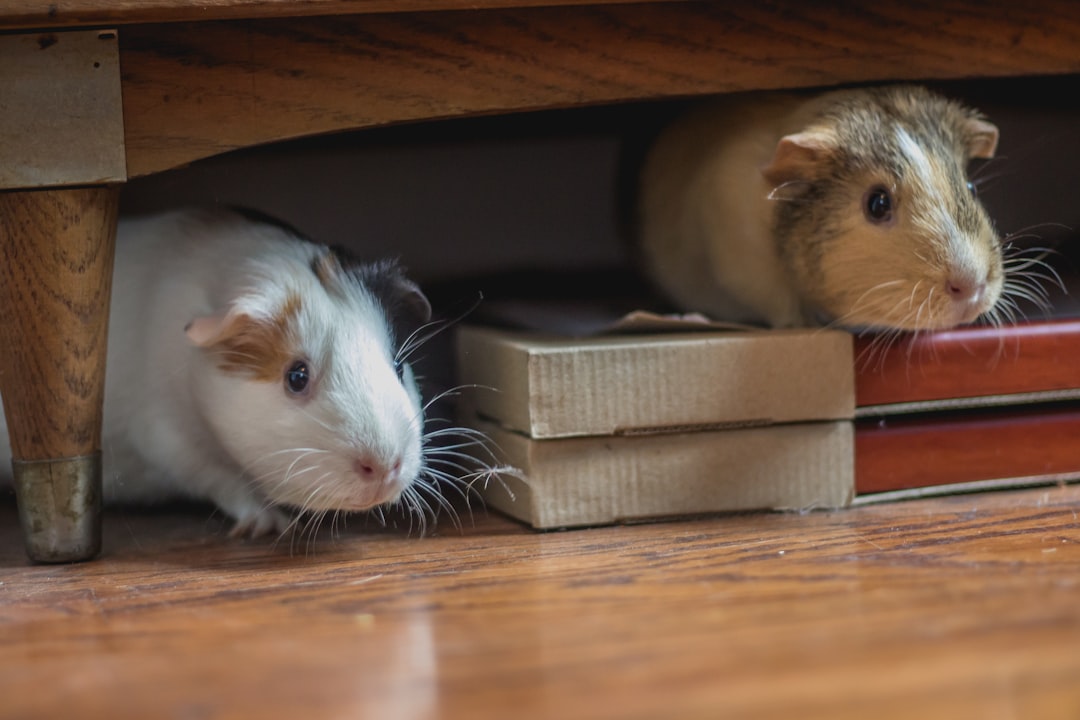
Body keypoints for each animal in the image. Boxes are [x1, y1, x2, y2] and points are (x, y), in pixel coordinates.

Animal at [0, 208, 433, 537]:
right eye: (296, 377)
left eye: (398, 366)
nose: (385, 467)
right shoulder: (170, 441)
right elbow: (223, 481)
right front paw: (268, 526)